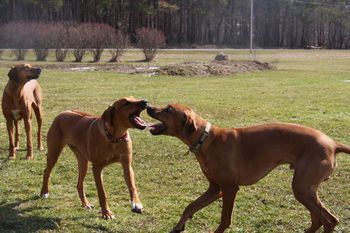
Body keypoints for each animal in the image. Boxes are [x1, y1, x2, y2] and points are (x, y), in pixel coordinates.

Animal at [147, 104, 350, 233]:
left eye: (168, 109)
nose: (148, 106)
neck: (206, 139)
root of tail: (333, 143)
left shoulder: (229, 188)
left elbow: (225, 219)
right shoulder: (215, 189)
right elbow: (190, 206)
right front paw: (178, 226)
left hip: (302, 188)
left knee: (329, 221)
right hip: (305, 190)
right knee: (318, 219)